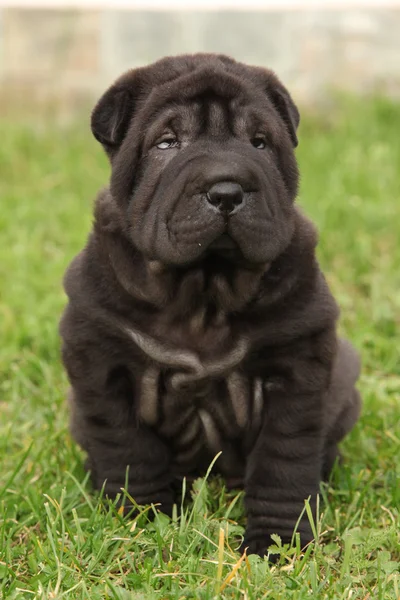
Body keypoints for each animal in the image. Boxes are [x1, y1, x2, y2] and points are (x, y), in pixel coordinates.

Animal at [60, 54, 362, 556]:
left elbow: (284, 459)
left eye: (259, 142)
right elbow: (127, 448)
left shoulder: (297, 367)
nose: (226, 191)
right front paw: (143, 518)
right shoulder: (101, 360)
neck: (202, 290)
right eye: (167, 143)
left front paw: (277, 543)